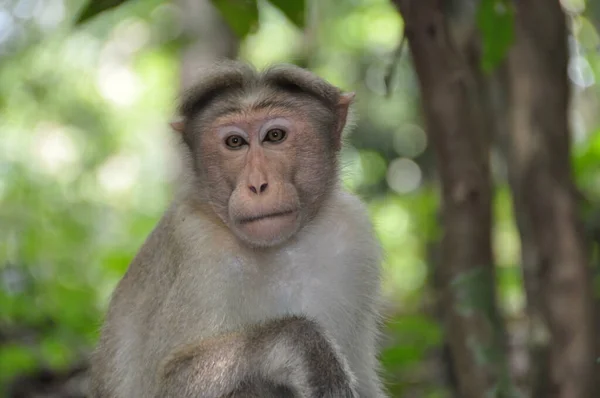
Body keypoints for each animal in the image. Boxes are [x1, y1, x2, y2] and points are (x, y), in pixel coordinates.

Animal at [91, 59, 386, 398]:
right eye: (235, 142)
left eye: (274, 136)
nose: (257, 184)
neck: (280, 247)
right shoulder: (196, 245)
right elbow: (167, 382)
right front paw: (308, 351)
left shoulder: (354, 232)